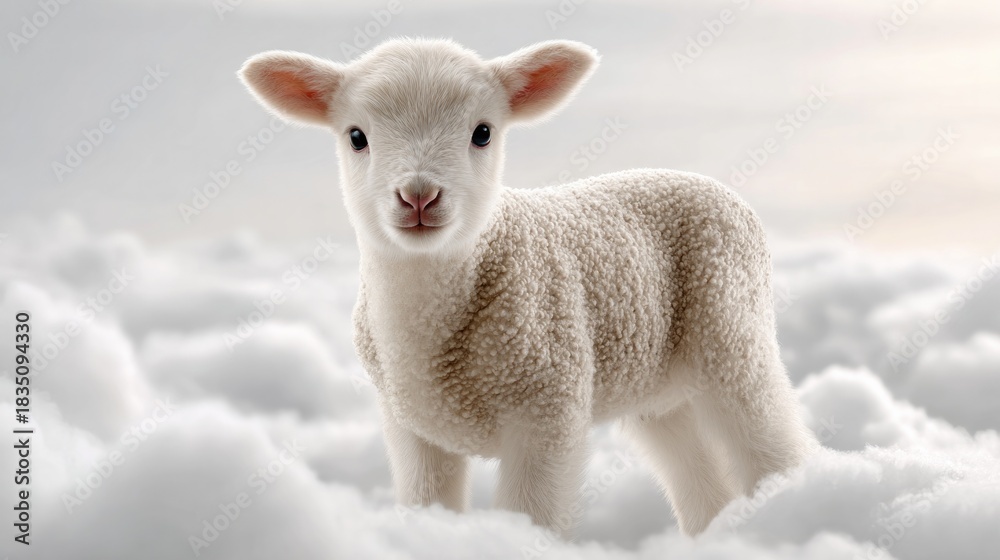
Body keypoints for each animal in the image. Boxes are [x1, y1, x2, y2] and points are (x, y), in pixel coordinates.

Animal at [240, 37, 815, 537]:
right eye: (356, 136)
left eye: (483, 132)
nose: (419, 196)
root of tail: (718, 187)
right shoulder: (412, 425)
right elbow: (428, 501)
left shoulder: (548, 404)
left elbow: (531, 512)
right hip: (658, 387)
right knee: (698, 474)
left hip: (729, 329)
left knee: (768, 437)